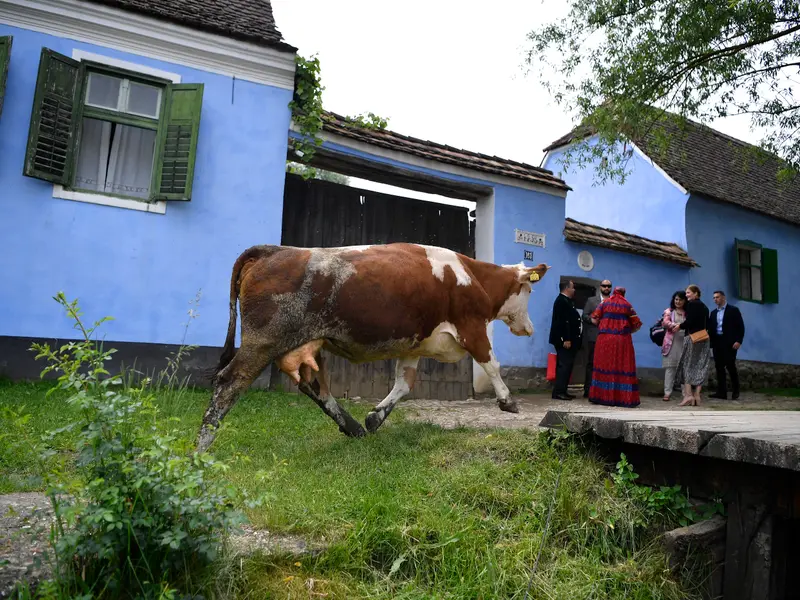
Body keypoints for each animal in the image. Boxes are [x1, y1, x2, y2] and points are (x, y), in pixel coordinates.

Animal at [198, 243, 552, 450]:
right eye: (529, 292)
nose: (530, 328)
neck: (471, 275)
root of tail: (272, 250)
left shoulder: (412, 345)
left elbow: (404, 384)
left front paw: (375, 417)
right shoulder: (471, 326)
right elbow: (492, 363)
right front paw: (507, 401)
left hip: (305, 343)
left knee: (316, 386)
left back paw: (354, 427)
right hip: (263, 340)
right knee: (229, 383)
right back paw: (203, 447)